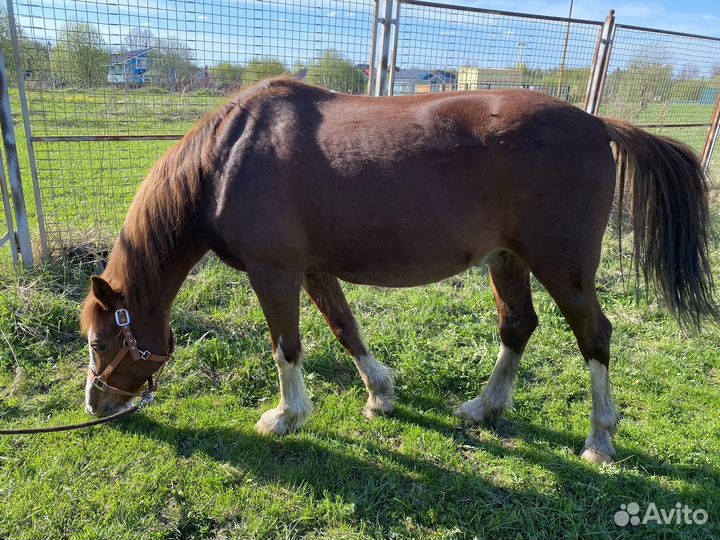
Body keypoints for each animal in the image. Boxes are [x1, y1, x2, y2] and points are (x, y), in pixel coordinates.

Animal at [81, 78, 718, 464]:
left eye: (98, 342)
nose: (95, 406)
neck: (229, 158)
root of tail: (597, 123)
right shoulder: (314, 270)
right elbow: (346, 329)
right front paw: (380, 394)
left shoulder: (274, 272)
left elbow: (286, 346)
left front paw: (286, 415)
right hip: (507, 261)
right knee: (518, 325)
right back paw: (485, 407)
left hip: (564, 268)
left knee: (595, 337)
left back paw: (600, 440)